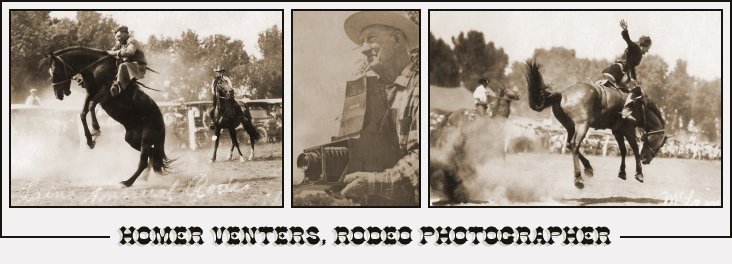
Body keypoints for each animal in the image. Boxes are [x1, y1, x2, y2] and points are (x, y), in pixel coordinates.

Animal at [42, 47, 173, 188]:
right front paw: (90, 140)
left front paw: (96, 130)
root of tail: (162, 123)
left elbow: (91, 107)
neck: (95, 67)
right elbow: (83, 113)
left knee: (144, 161)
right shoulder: (91, 93)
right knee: (152, 155)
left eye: (56, 71)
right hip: (132, 139)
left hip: (146, 140)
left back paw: (127, 182)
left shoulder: (105, 92)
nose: (57, 95)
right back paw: (142, 177)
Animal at [524, 60, 668, 189]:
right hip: (582, 125)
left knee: (569, 144)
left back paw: (588, 168)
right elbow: (635, 148)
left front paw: (622, 172)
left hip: (570, 127)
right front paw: (639, 174)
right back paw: (578, 178)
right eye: (661, 144)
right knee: (575, 144)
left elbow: (623, 150)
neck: (640, 108)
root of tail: (562, 95)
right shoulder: (628, 130)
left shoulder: (617, 131)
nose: (646, 159)